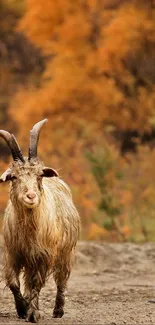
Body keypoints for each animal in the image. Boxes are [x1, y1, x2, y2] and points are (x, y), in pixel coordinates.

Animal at [0, 119, 80, 322]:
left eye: (39, 175)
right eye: (14, 176)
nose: (31, 196)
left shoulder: (44, 255)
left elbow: (37, 282)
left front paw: (33, 314)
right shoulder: (12, 253)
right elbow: (14, 282)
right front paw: (22, 309)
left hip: (66, 253)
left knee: (61, 280)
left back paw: (58, 311)